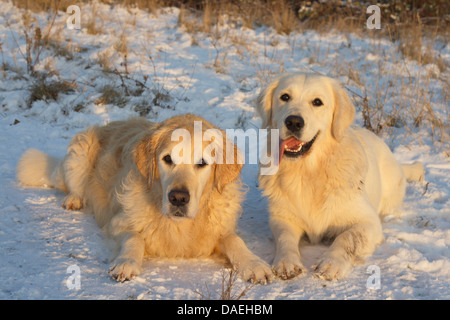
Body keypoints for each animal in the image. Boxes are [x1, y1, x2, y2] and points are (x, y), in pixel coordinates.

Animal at [15, 115, 272, 284]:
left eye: (202, 163)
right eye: (167, 159)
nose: (178, 198)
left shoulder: (220, 229)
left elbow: (235, 240)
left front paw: (255, 264)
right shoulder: (117, 222)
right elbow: (134, 237)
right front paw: (127, 262)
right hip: (80, 150)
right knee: (73, 184)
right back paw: (74, 199)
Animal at [255, 72, 424, 280]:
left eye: (317, 102)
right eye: (285, 97)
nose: (293, 122)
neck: (309, 172)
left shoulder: (368, 222)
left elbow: (347, 238)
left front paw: (331, 263)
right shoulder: (282, 217)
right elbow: (285, 238)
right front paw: (286, 262)